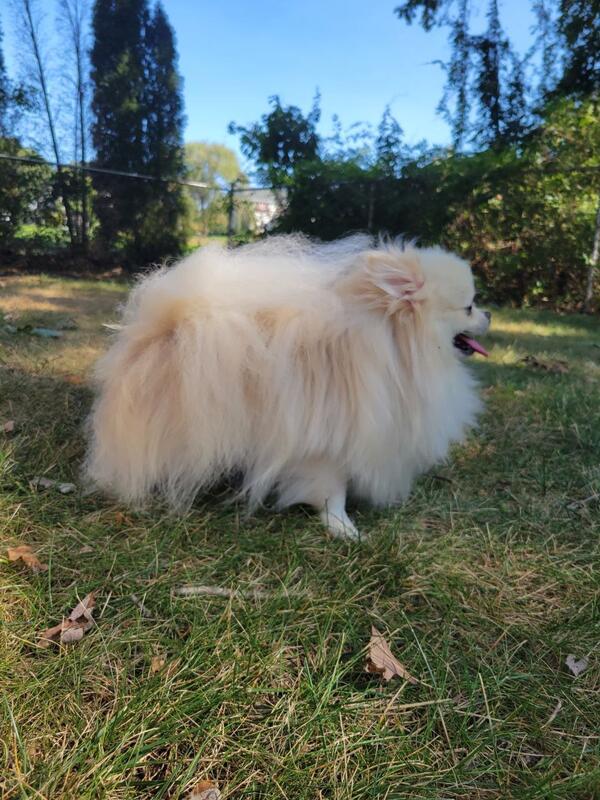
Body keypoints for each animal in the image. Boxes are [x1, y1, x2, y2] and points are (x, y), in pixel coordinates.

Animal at [86, 235, 490, 539]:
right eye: (469, 307)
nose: (489, 314)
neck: (396, 347)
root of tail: (162, 324)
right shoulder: (327, 445)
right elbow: (333, 493)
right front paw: (343, 528)